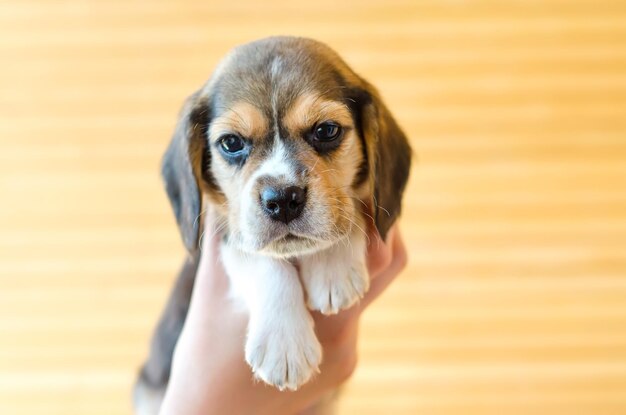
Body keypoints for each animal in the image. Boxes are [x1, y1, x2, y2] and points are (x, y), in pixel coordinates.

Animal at [133, 36, 410, 415]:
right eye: (232, 143)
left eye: (326, 130)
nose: (282, 199)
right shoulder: (229, 228)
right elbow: (265, 263)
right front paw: (284, 345)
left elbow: (350, 208)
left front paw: (332, 266)